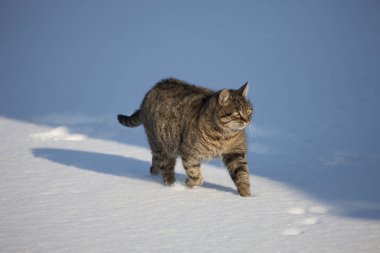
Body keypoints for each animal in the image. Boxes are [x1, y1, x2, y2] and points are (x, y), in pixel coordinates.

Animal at [117, 78, 254, 197]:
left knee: (155, 165)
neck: (224, 135)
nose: (247, 121)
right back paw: (171, 184)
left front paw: (246, 196)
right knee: (166, 168)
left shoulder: (235, 152)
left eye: (249, 112)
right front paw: (189, 184)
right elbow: (195, 174)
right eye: (237, 114)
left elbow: (242, 174)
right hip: (163, 146)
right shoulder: (189, 152)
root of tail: (149, 92)